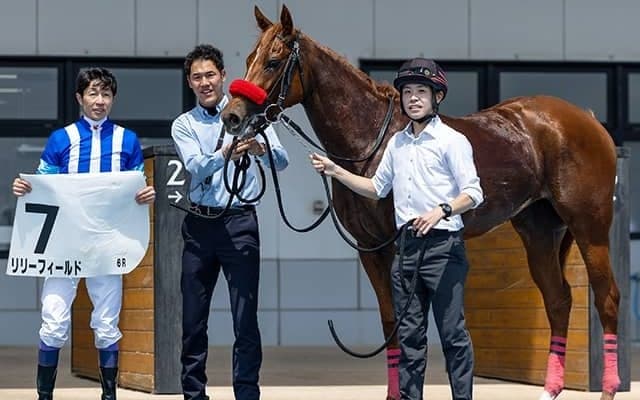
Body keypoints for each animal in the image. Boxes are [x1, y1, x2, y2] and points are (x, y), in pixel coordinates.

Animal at [220, 5, 621, 400]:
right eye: (250, 59)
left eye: (273, 62)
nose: (232, 117)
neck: (372, 140)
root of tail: (586, 120)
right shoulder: (369, 248)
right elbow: (390, 323)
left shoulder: (396, 244)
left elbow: (407, 323)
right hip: (539, 230)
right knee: (558, 300)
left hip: (589, 227)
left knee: (607, 298)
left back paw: (608, 389)